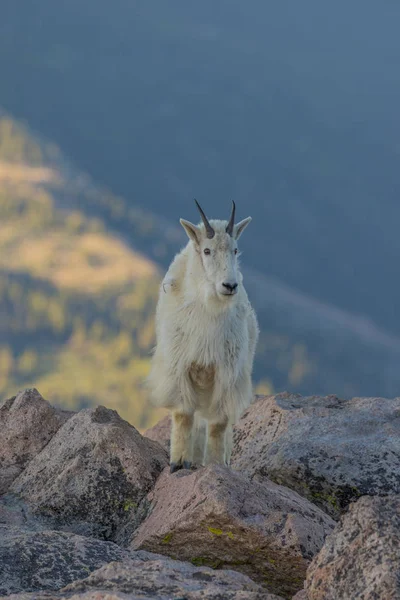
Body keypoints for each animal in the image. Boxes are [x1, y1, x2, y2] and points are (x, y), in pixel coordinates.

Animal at [147, 202, 260, 474]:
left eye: (235, 249)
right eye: (207, 250)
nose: (229, 286)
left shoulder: (226, 372)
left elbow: (219, 423)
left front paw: (216, 464)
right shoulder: (179, 368)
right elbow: (183, 415)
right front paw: (178, 462)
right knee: (197, 419)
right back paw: (193, 459)